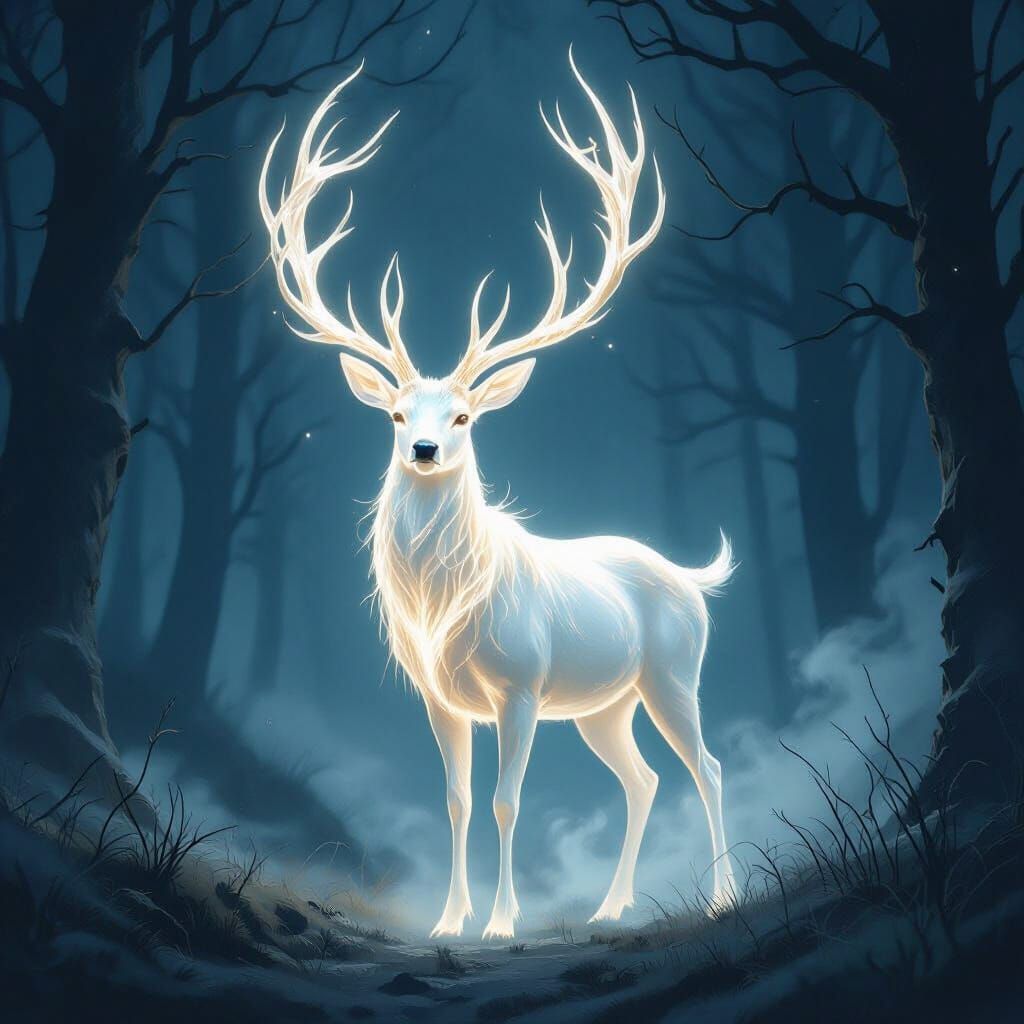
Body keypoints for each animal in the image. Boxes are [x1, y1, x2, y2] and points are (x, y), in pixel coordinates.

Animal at [259, 55, 736, 940]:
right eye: (395, 413)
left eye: (464, 415)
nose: (422, 449)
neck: (446, 608)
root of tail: (694, 579)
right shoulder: (439, 698)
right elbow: (455, 799)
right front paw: (450, 919)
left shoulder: (520, 685)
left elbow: (510, 802)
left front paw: (502, 923)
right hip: (602, 707)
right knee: (644, 779)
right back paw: (609, 906)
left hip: (672, 672)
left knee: (708, 767)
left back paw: (723, 894)